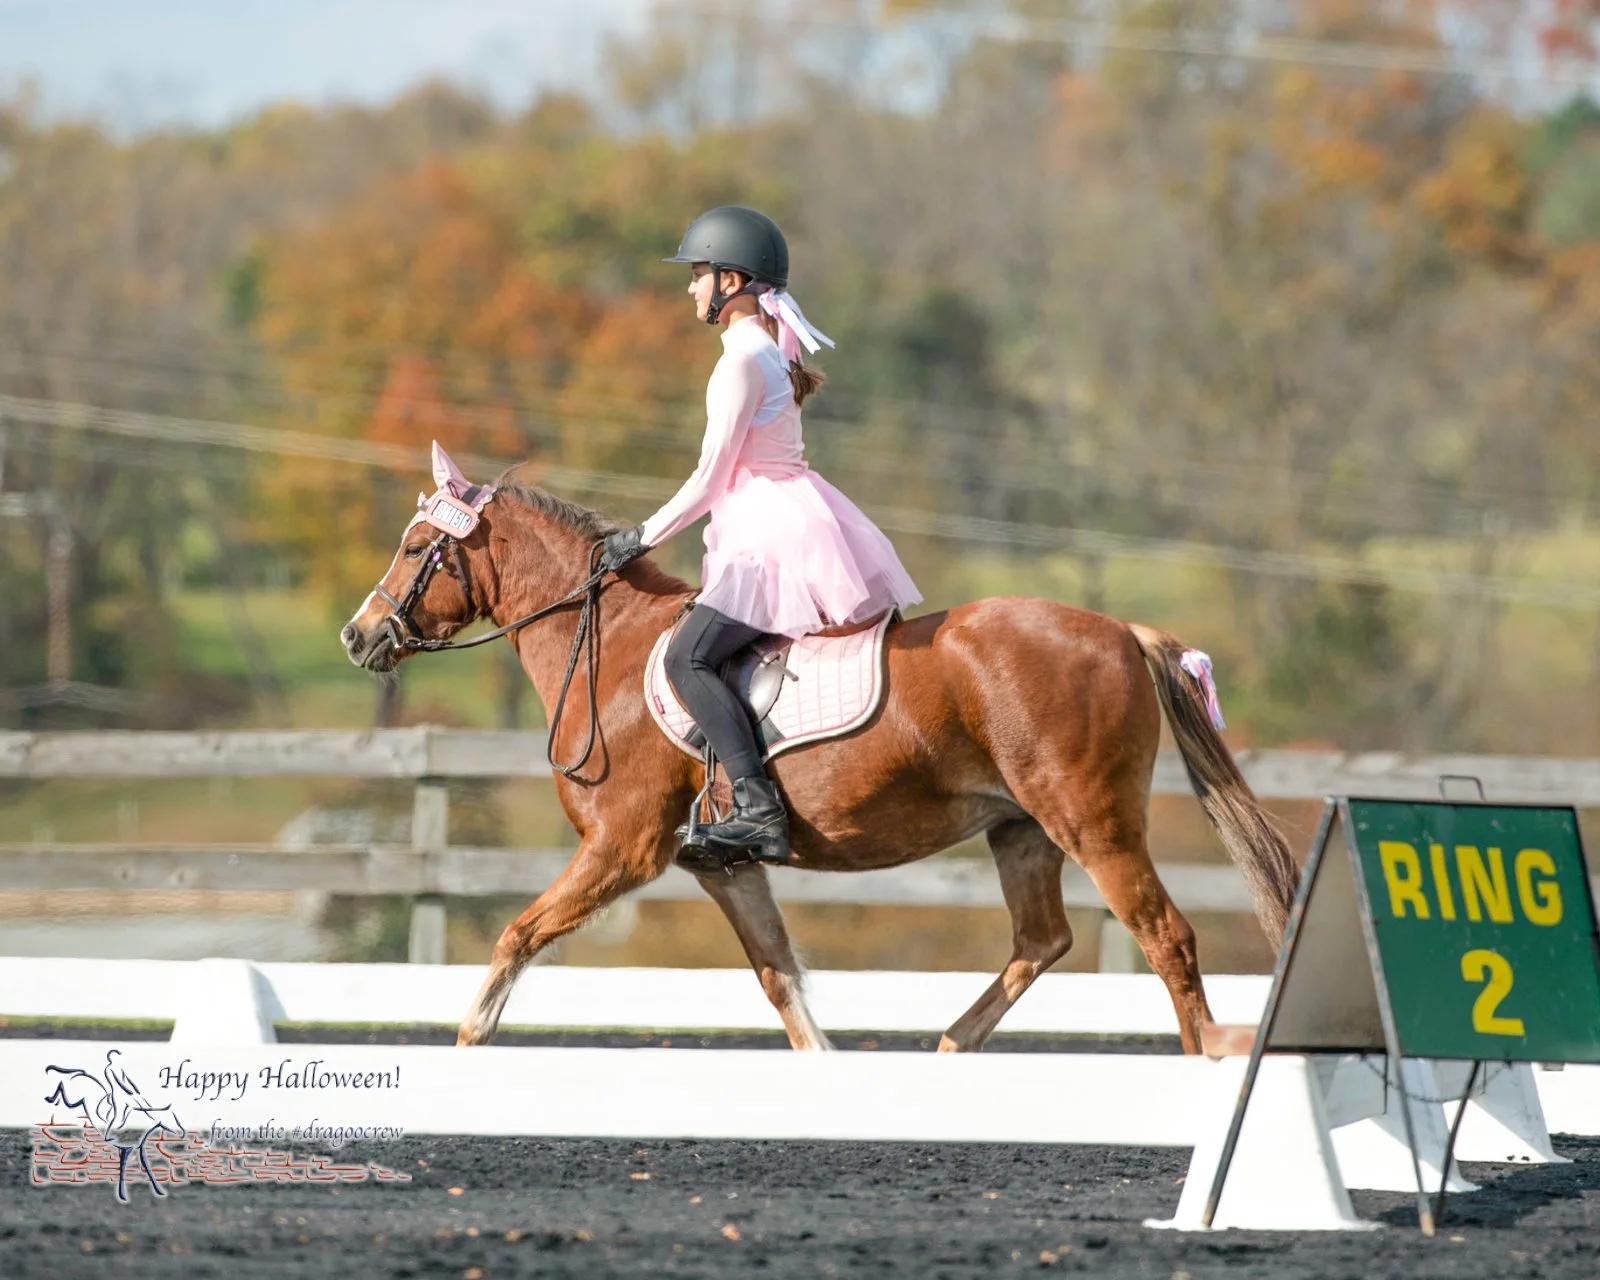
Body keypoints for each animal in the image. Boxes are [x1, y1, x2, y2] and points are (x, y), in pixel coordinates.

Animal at [340, 461, 1299, 1054]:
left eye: (416, 547)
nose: (357, 636)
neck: (610, 649)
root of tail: (1121, 630)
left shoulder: (623, 847)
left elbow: (518, 934)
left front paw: (471, 1039)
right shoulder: (721, 867)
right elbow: (781, 983)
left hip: (1092, 822)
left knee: (1165, 938)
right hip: (1021, 827)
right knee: (1043, 939)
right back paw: (949, 1049)